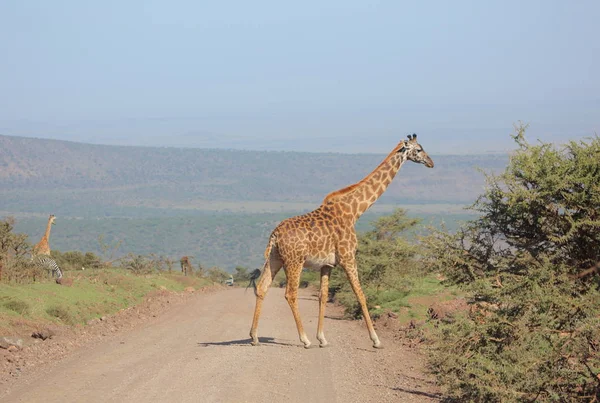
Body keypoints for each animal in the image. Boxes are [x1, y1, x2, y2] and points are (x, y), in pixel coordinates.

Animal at [250, 136, 436, 350]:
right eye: (419, 149)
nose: (431, 162)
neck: (355, 210)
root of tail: (275, 235)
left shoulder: (327, 264)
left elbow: (323, 296)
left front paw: (322, 338)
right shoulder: (348, 257)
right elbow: (361, 294)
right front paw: (376, 340)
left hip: (275, 258)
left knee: (262, 287)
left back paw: (254, 337)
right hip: (294, 261)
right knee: (290, 293)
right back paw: (304, 339)